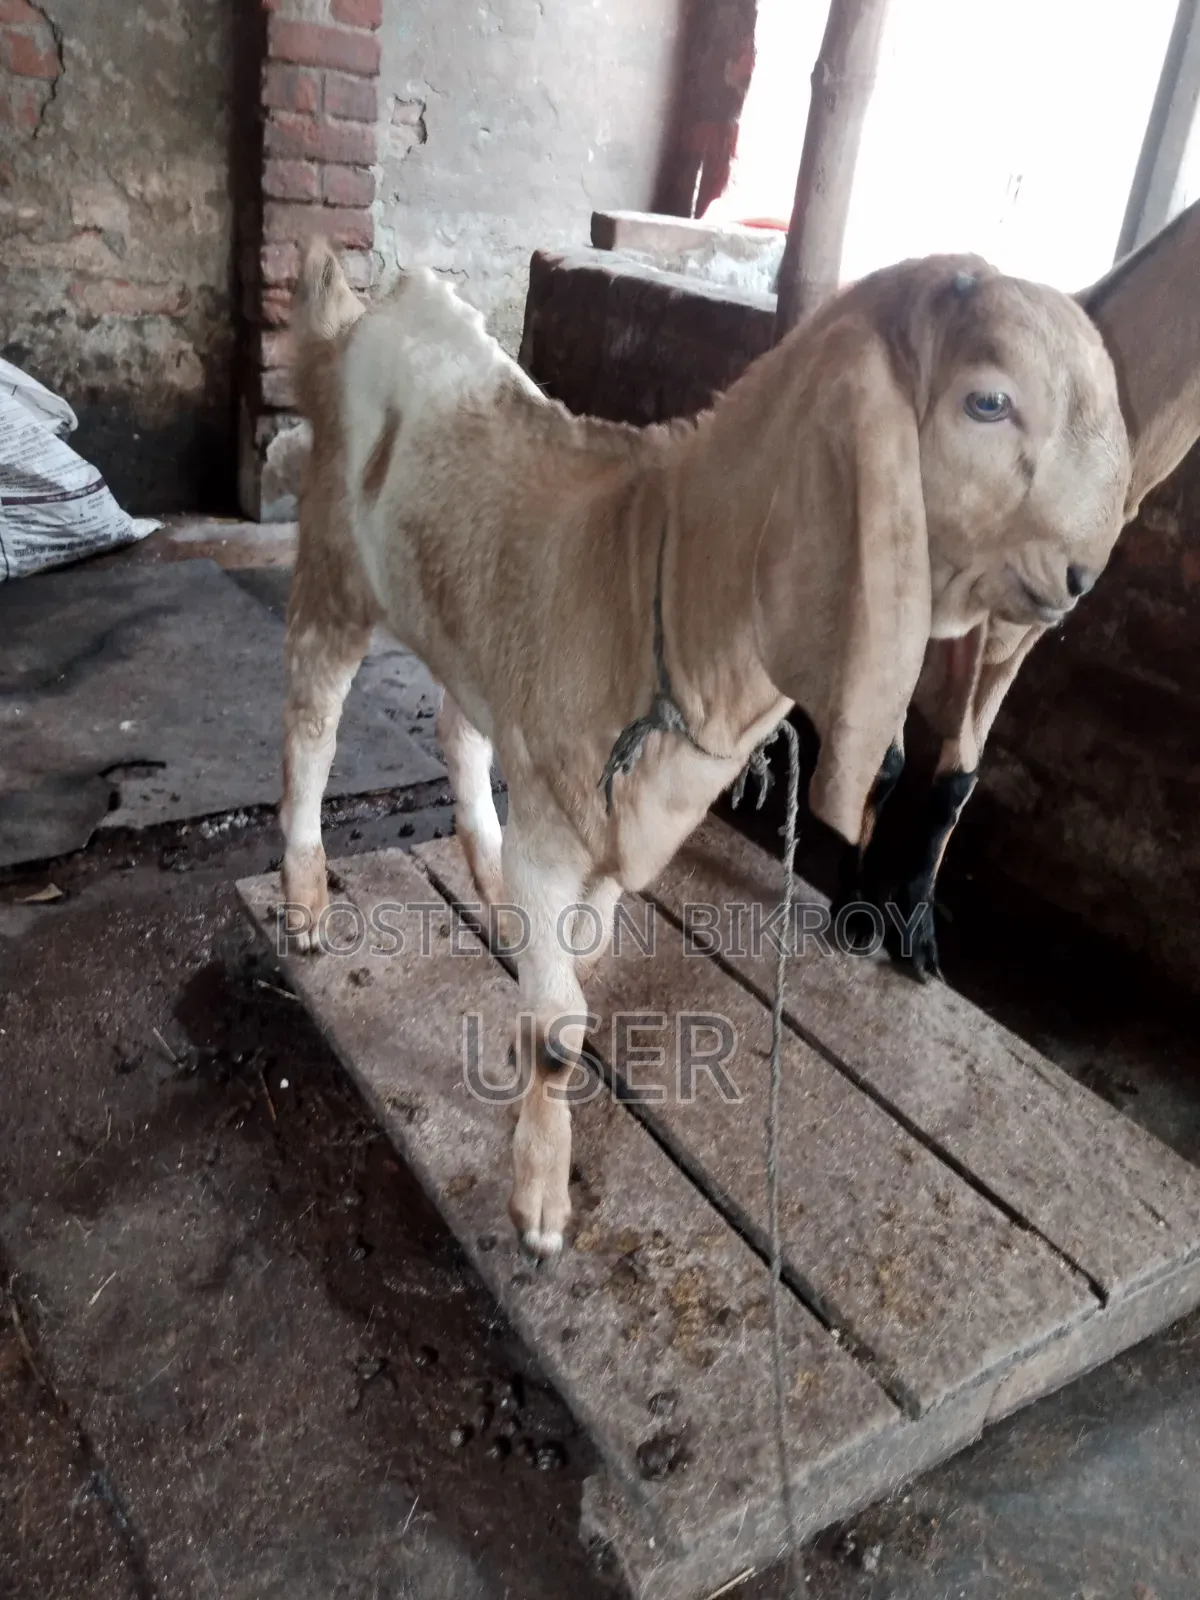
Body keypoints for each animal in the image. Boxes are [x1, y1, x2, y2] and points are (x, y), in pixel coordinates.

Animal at [281, 239, 1129, 1257]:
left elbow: (581, 946)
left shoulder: (602, 811)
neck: (657, 570)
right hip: (333, 565)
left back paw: (483, 867)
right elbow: (557, 1029)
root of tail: (353, 311)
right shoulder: (557, 819)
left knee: (458, 724)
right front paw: (539, 1204)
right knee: (313, 722)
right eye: (989, 402)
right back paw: (305, 896)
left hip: (471, 632)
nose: (1081, 577)